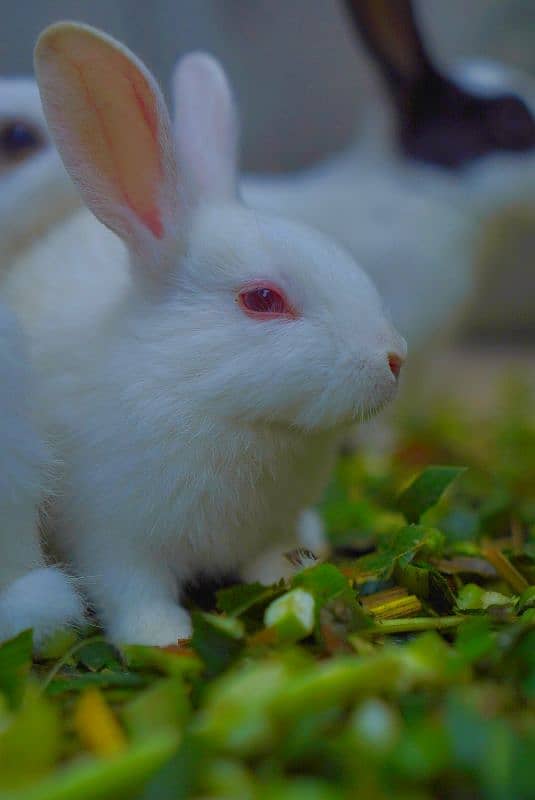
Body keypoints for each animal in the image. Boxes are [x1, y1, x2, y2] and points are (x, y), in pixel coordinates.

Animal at [23, 21, 404, 648]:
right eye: (262, 300)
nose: (394, 359)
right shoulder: (112, 542)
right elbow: (134, 592)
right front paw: (164, 640)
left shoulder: (269, 528)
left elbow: (271, 560)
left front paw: (289, 589)